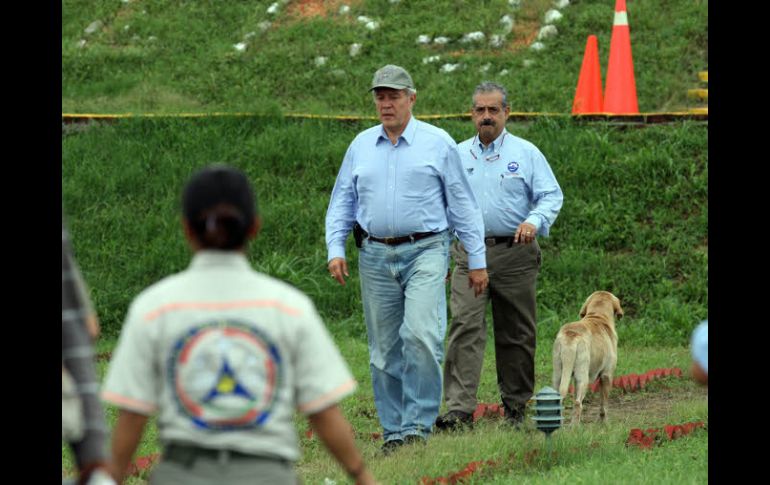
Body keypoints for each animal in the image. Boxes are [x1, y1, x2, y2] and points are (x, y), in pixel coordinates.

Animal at [548, 292, 620, 424]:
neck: (598, 316)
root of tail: (571, 336)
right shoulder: (606, 375)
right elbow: (604, 406)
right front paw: (605, 423)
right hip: (583, 378)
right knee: (578, 404)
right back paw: (574, 427)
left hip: (558, 375)